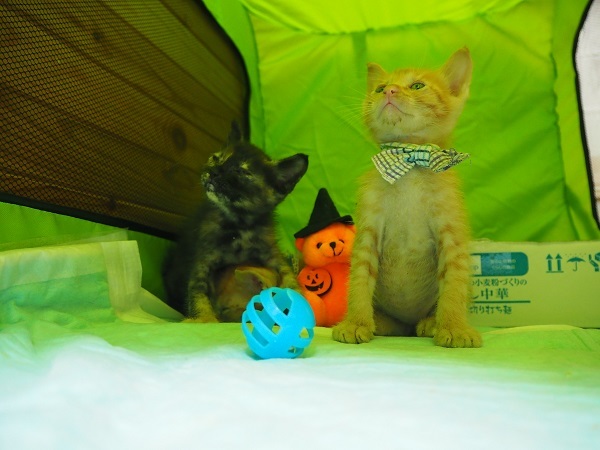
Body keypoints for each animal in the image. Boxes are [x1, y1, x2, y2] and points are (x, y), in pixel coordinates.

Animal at [162, 123, 308, 322]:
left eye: (240, 171)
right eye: (216, 158)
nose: (213, 172)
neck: (240, 226)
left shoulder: (271, 253)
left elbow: (288, 274)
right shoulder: (202, 258)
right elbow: (197, 290)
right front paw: (204, 318)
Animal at [332, 48, 482, 348]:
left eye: (417, 86)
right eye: (379, 88)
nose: (389, 91)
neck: (409, 164)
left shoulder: (451, 231)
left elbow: (454, 282)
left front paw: (454, 327)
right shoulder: (367, 230)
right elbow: (359, 279)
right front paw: (356, 322)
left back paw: (430, 323)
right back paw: (382, 323)